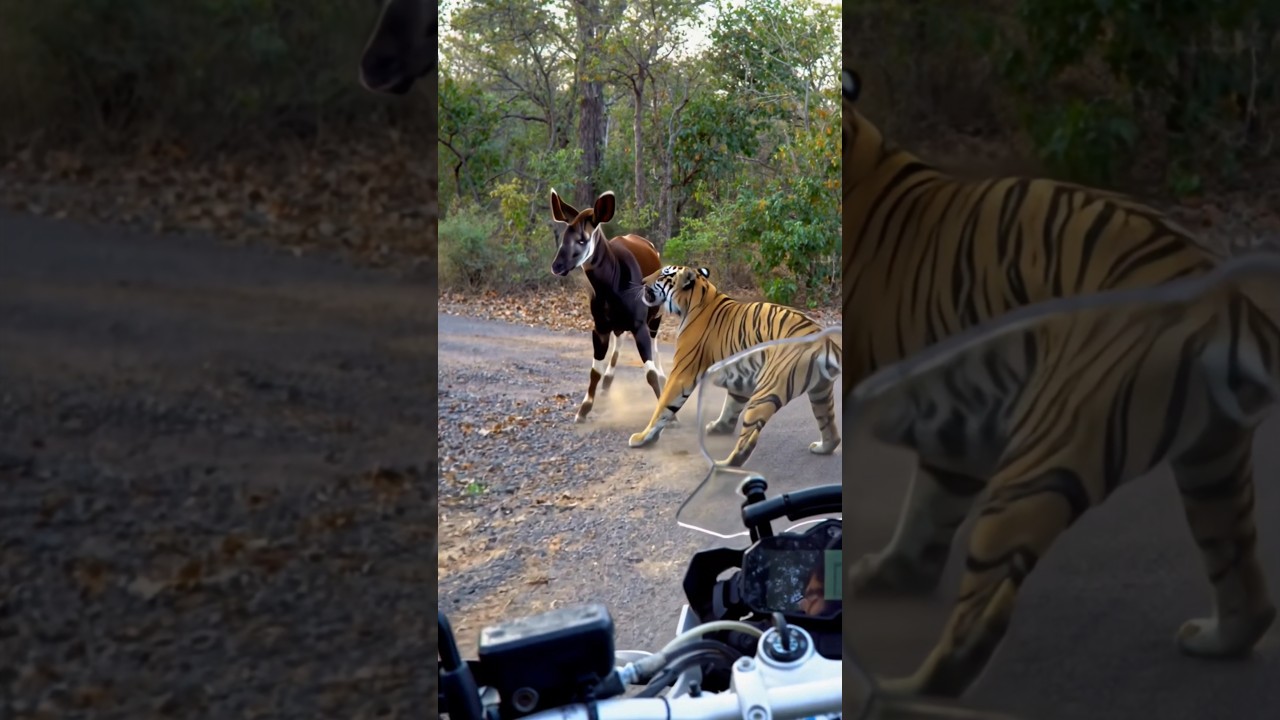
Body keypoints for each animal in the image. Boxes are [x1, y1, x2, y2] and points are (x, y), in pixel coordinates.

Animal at [627, 265, 842, 468]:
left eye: (663, 274)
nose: (643, 280)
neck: (696, 298)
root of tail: (823, 339)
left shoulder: (683, 372)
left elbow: (663, 405)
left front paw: (643, 438)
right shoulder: (741, 378)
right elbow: (731, 405)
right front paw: (720, 427)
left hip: (767, 391)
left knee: (747, 441)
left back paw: (725, 464)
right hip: (820, 392)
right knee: (830, 427)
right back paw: (823, 447)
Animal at [841, 65, 1278, 699]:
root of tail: (1217, 299)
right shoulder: (954, 429)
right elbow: (928, 509)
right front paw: (892, 572)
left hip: (1043, 456)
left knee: (973, 629)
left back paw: (902, 692)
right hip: (1212, 460)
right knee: (1244, 579)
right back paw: (1213, 639)